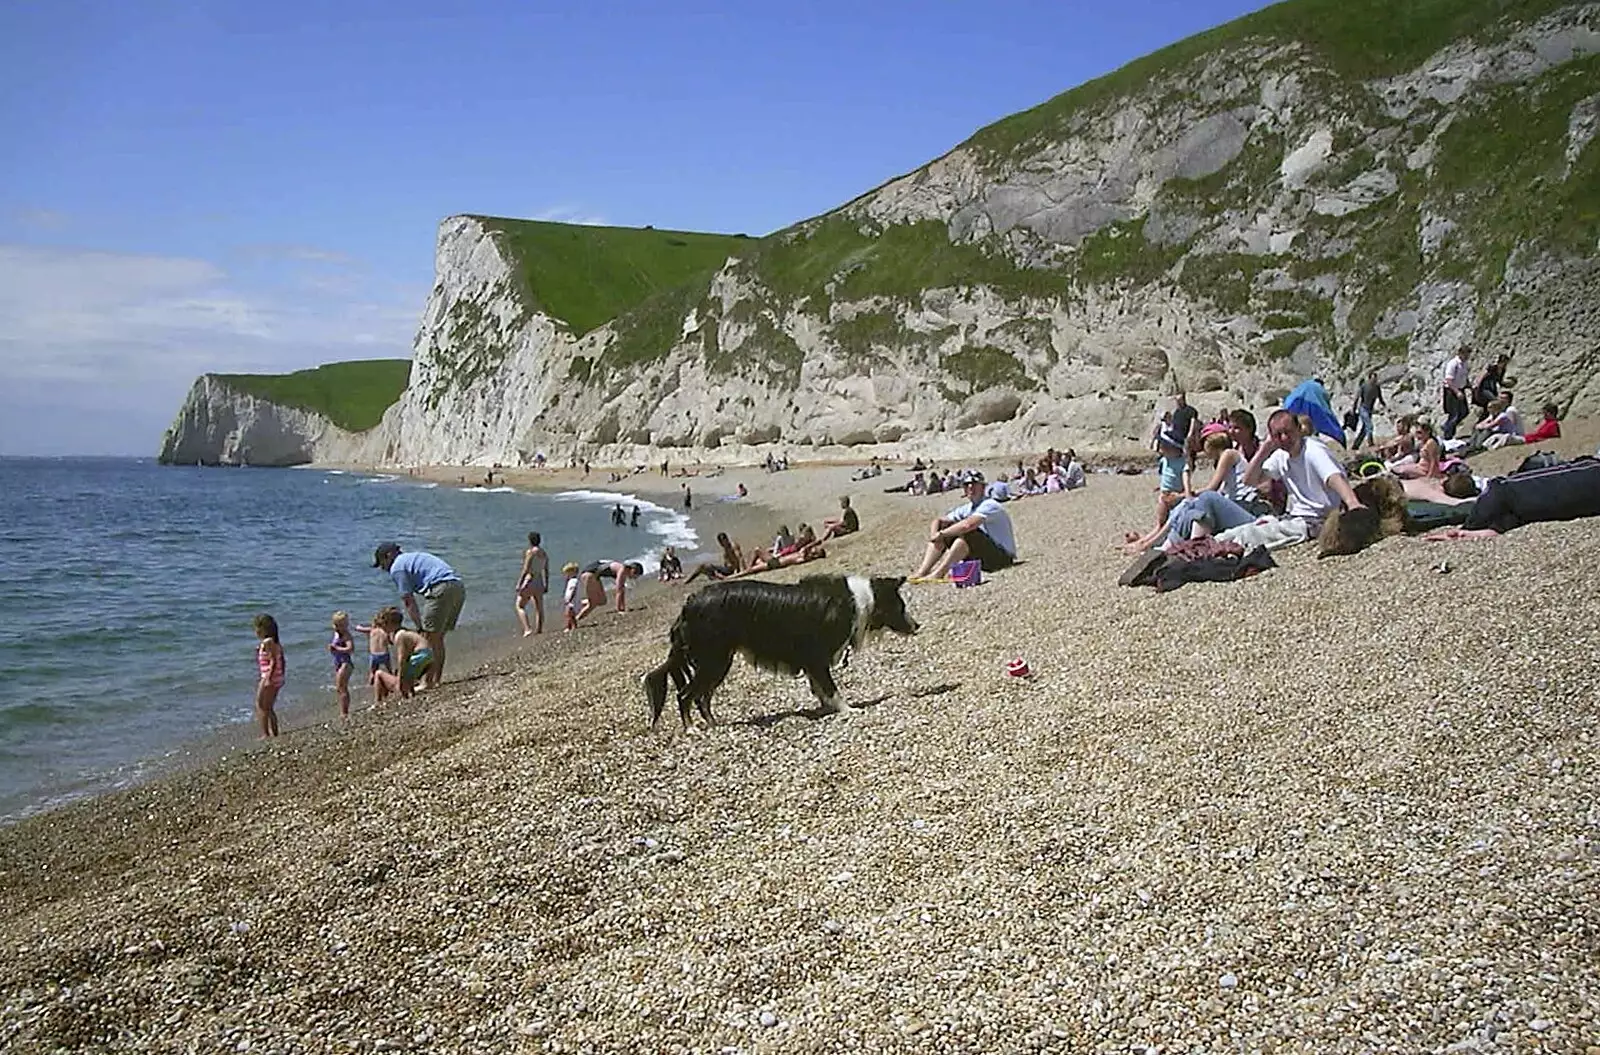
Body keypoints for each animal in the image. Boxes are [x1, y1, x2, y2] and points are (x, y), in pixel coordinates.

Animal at [640, 573, 921, 730]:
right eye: (901, 606)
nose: (918, 626)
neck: (859, 600)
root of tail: (687, 607)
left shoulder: (812, 664)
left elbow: (820, 690)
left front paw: (826, 709)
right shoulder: (816, 658)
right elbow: (831, 689)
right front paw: (848, 710)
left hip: (719, 661)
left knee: (702, 697)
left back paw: (715, 725)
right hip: (714, 659)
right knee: (686, 694)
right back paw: (692, 730)